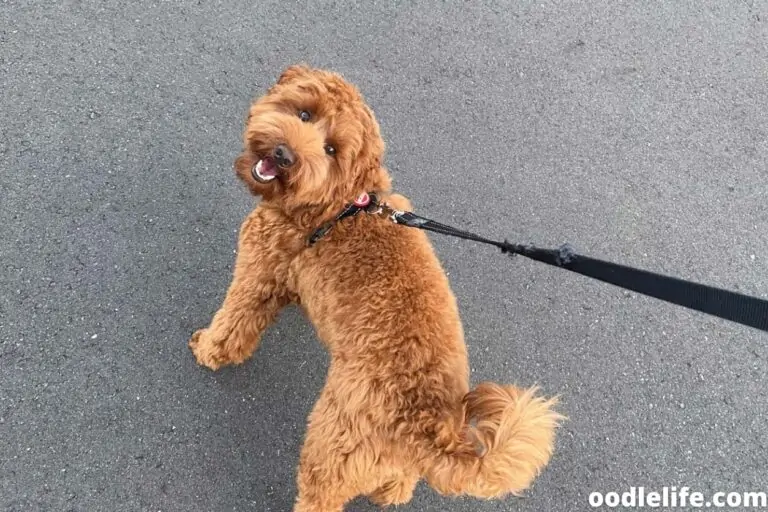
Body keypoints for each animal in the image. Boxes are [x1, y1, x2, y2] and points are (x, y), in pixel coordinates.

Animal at [189, 66, 560, 510]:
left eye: (331, 150)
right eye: (304, 114)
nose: (283, 155)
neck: (339, 205)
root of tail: (428, 425)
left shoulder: (258, 271)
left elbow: (233, 325)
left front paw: (207, 349)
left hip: (333, 446)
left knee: (321, 495)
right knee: (401, 483)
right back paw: (390, 492)